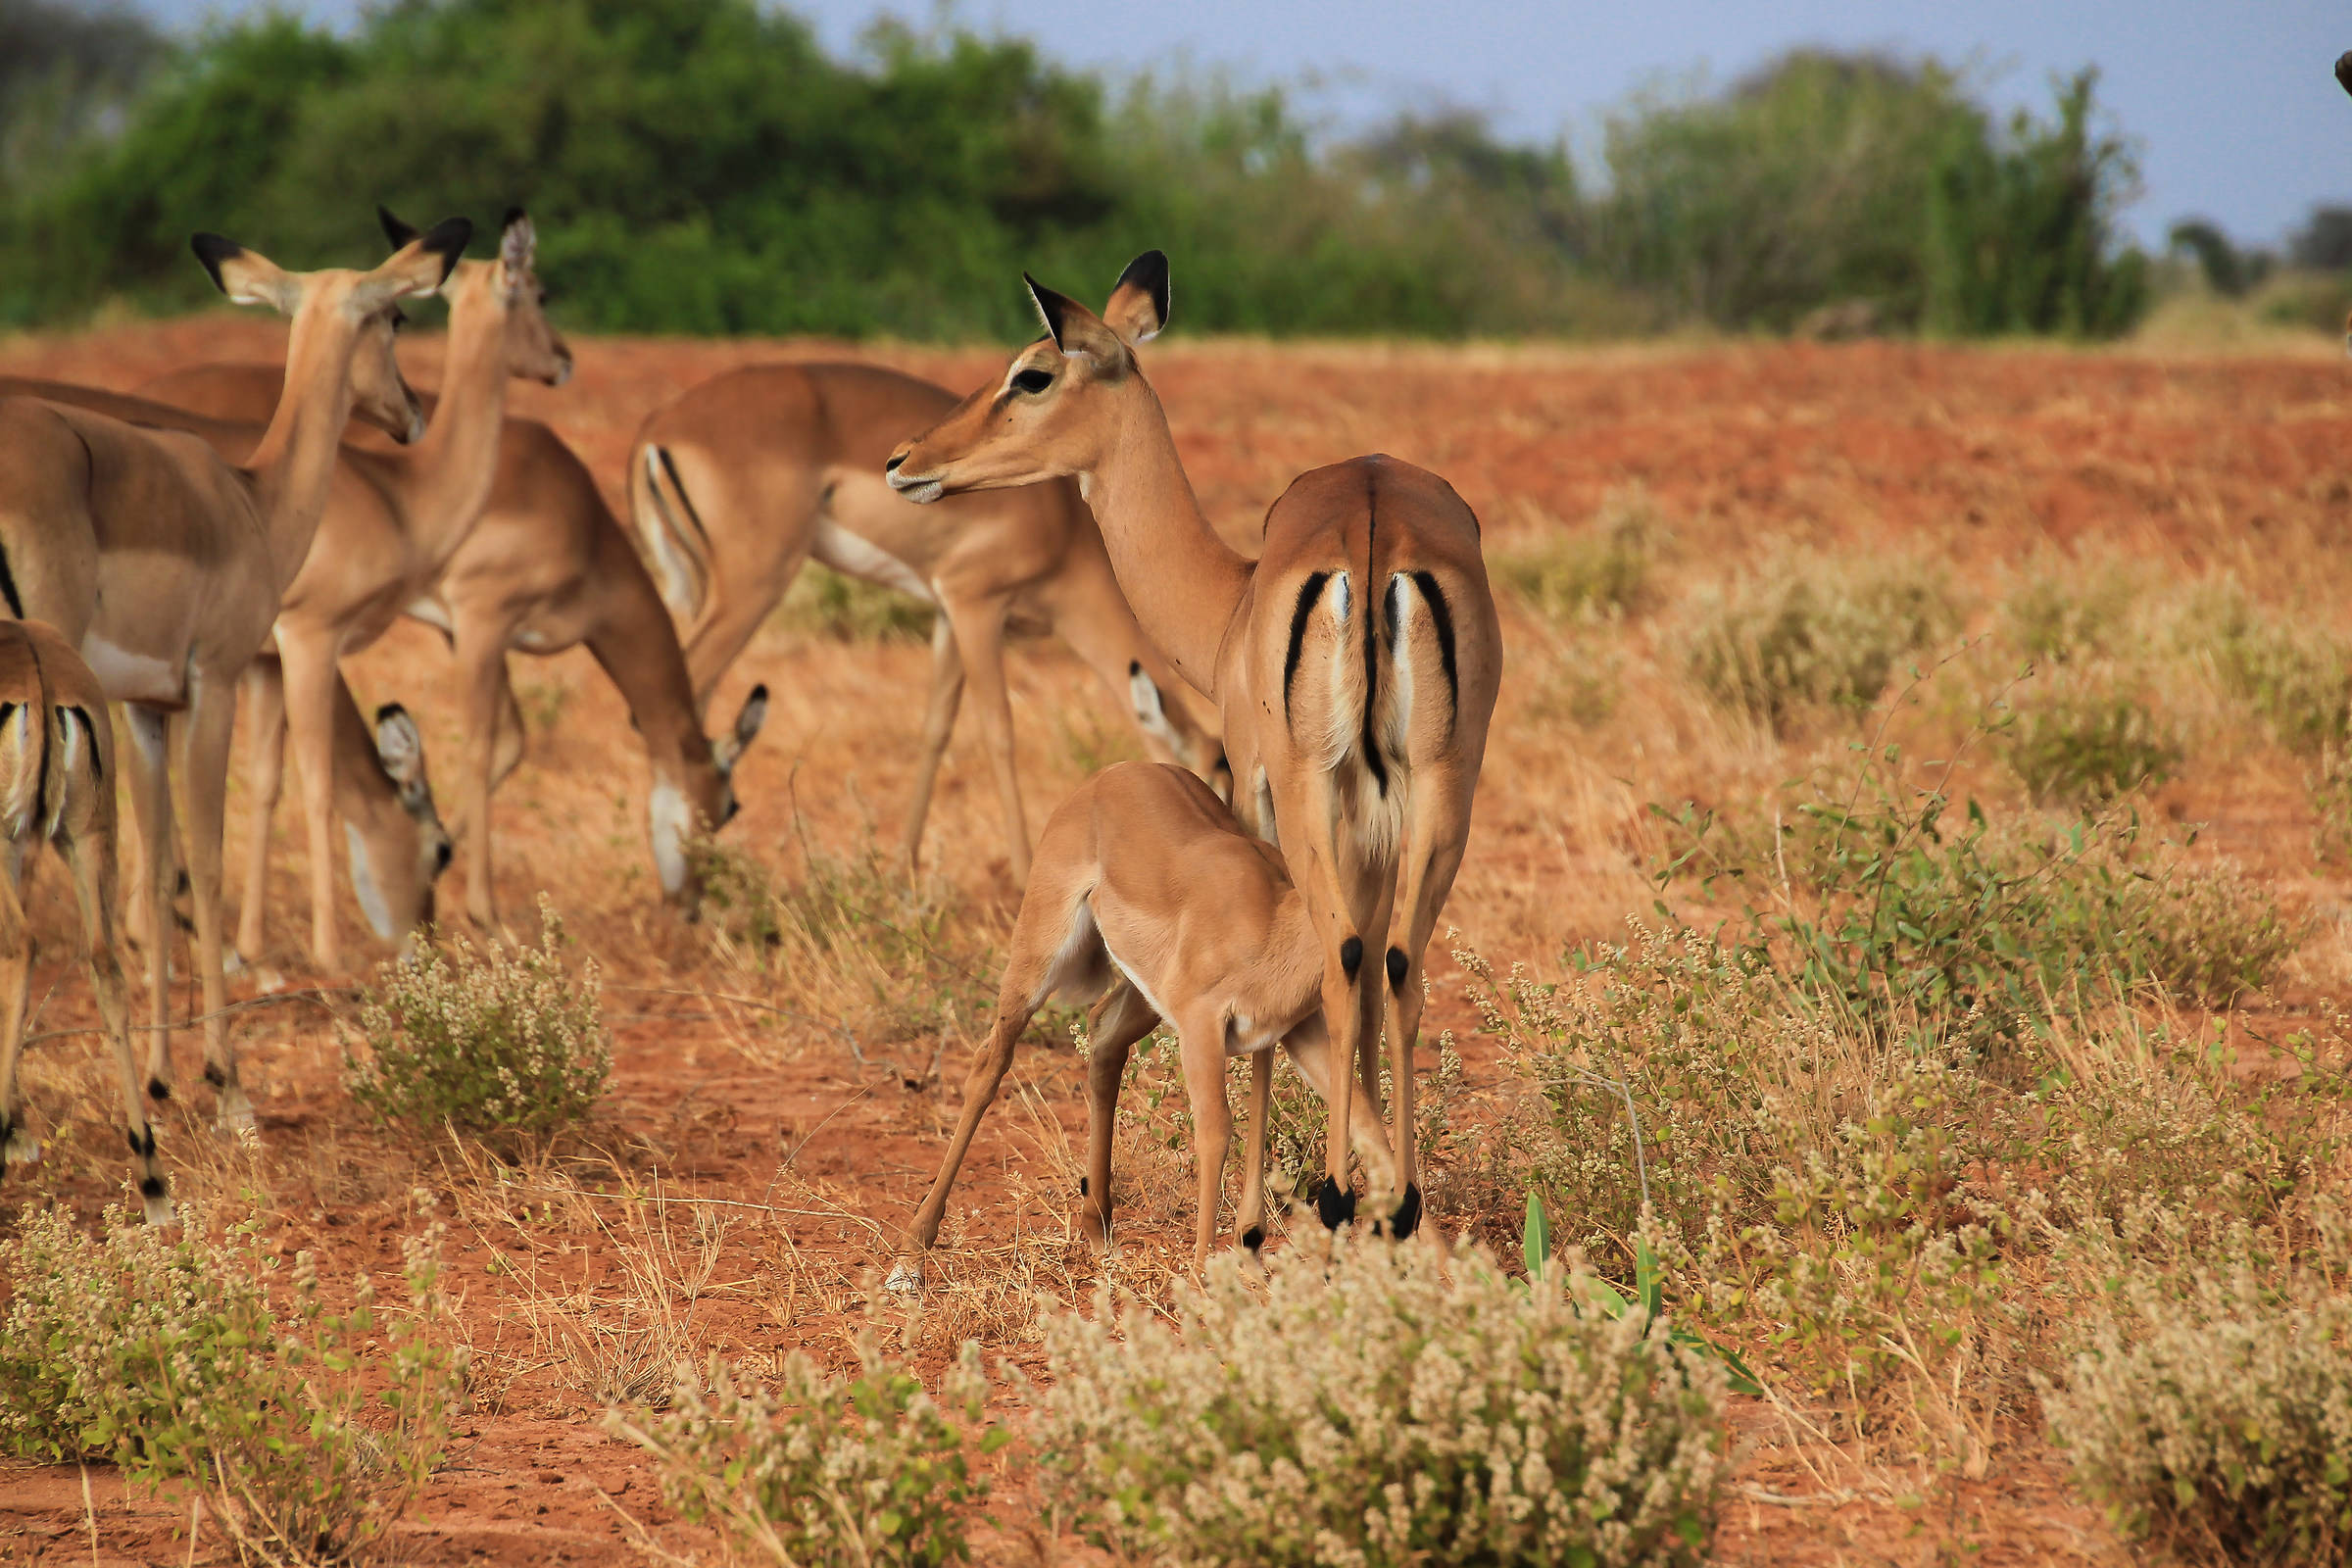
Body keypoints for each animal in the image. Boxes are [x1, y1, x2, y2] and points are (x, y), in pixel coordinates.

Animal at [131, 389, 771, 932]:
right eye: (728, 808)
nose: (689, 907)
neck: (579, 518)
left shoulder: (463, 634)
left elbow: (508, 742)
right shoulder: (482, 618)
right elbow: (486, 744)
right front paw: (479, 910)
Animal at [629, 362, 1225, 883]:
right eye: (1211, 780)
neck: (1064, 532)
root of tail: (657, 428)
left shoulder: (945, 615)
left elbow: (935, 728)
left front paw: (901, 874)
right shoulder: (975, 605)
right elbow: (998, 731)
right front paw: (1020, 875)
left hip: (701, 591)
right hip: (752, 587)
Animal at [896, 761, 1401, 1281]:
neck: (1274, 922)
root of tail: (1113, 774)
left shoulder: (1299, 1033)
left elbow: (1370, 1127)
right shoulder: (1202, 1026)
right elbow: (1216, 1130)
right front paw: (1199, 1278)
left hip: (1141, 993)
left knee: (1102, 1035)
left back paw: (1099, 1234)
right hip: (1038, 959)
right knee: (989, 1061)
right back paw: (913, 1250)